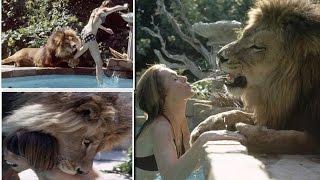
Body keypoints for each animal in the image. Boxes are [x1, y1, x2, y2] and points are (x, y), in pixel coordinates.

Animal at [190, 0, 320, 154]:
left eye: (257, 46)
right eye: (243, 35)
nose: (219, 56)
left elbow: (294, 137)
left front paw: (249, 133)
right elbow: (235, 112)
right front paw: (203, 127)